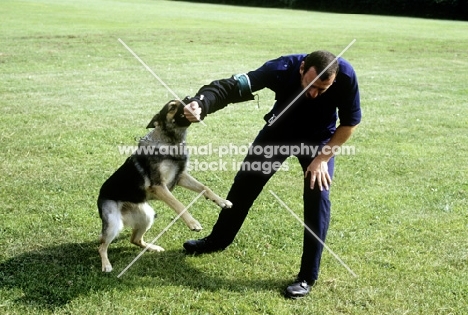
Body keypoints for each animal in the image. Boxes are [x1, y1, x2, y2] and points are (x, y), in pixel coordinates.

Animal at [97, 100, 232, 272]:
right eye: (172, 107)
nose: (190, 99)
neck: (170, 142)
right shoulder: (159, 186)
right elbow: (179, 204)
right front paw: (193, 223)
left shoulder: (181, 177)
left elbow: (204, 187)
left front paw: (222, 201)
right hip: (114, 223)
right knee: (101, 246)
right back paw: (106, 264)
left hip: (147, 216)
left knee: (135, 240)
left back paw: (153, 248)